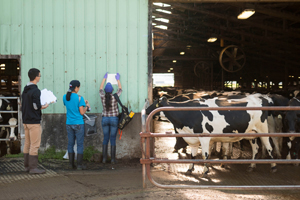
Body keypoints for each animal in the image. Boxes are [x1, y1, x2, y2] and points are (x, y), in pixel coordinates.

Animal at [146, 94, 276, 177]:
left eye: (154, 104)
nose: (146, 111)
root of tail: (261, 98)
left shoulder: (204, 137)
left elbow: (205, 155)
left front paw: (205, 171)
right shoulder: (193, 138)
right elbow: (192, 155)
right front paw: (190, 169)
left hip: (263, 130)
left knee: (269, 147)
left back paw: (273, 166)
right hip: (251, 133)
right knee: (255, 148)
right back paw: (251, 166)